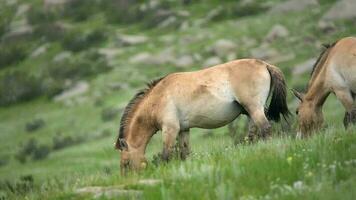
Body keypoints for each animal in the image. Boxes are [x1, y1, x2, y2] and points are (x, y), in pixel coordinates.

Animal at [115, 58, 290, 173]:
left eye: (126, 163)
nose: (129, 179)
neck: (158, 97)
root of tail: (264, 64)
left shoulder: (170, 129)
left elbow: (166, 154)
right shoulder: (183, 130)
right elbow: (185, 153)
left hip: (254, 108)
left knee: (265, 128)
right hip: (250, 111)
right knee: (253, 134)